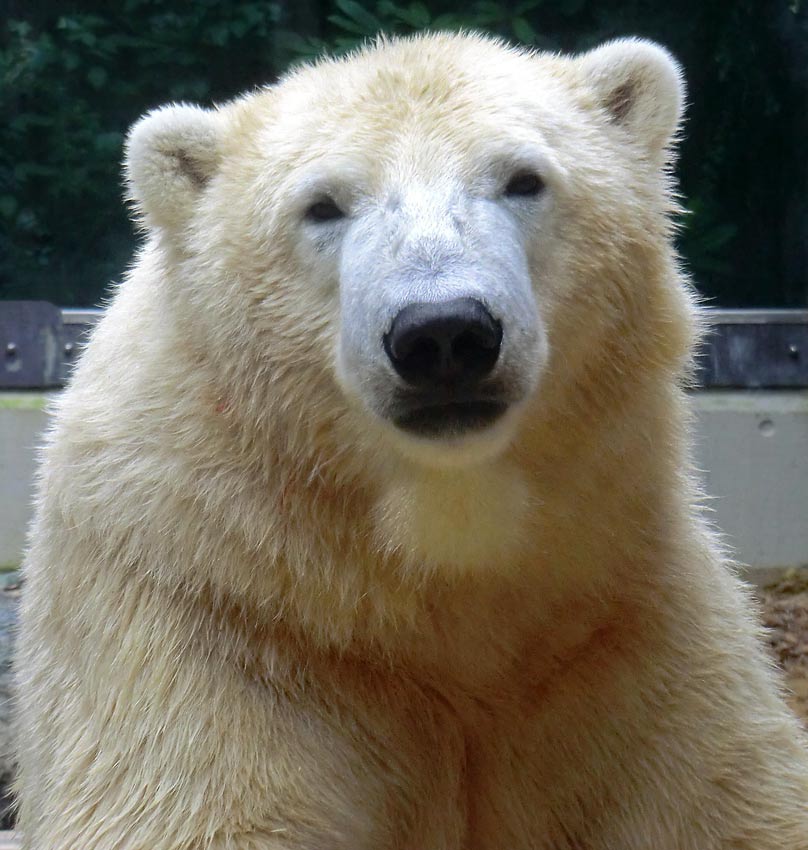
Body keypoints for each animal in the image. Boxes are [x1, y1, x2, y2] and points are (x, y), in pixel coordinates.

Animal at [14, 31, 808, 848]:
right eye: (322, 205)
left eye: (524, 180)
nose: (444, 332)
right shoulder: (205, 607)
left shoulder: (622, 615)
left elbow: (724, 797)